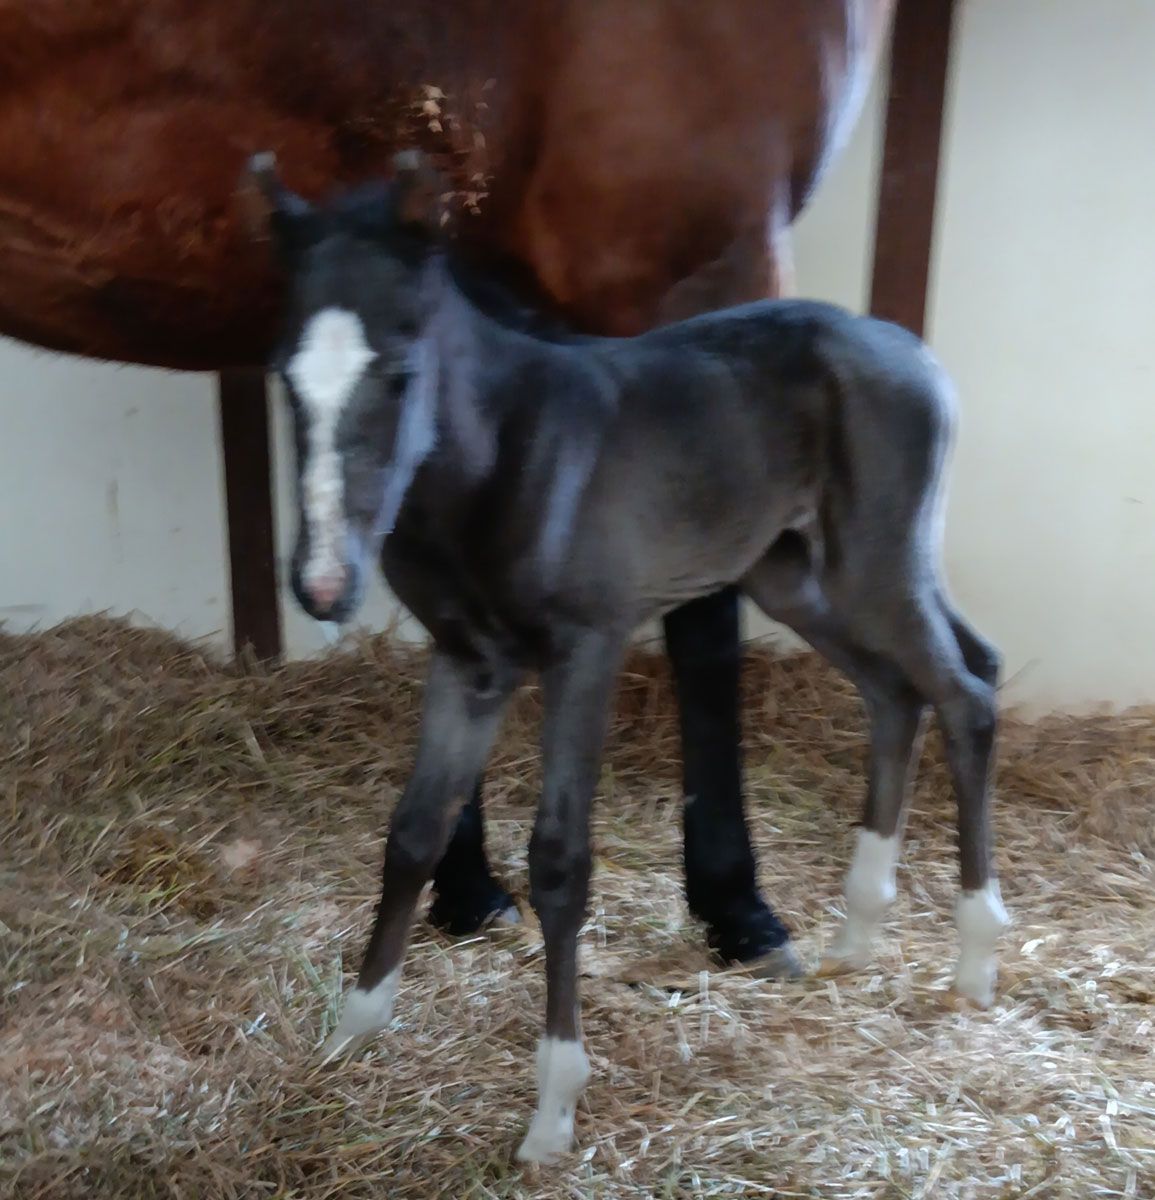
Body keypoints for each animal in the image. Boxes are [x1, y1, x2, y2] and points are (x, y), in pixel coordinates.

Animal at [248, 151, 1010, 1162]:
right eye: (285, 376)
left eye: (401, 369)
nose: (324, 584)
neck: (497, 464)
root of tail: (910, 351)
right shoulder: (469, 661)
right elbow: (413, 831)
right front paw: (352, 1032)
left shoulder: (586, 648)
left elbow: (559, 861)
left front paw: (553, 1108)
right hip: (797, 578)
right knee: (899, 692)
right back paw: (856, 933)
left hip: (876, 560)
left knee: (966, 690)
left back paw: (973, 957)